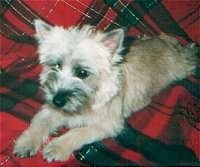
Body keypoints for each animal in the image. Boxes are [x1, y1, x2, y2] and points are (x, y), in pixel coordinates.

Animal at [12, 19, 198, 162]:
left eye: (82, 73)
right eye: (55, 66)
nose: (57, 100)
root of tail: (168, 42)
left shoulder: (108, 124)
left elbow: (78, 131)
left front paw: (58, 147)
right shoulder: (50, 109)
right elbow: (40, 122)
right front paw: (26, 142)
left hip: (181, 67)